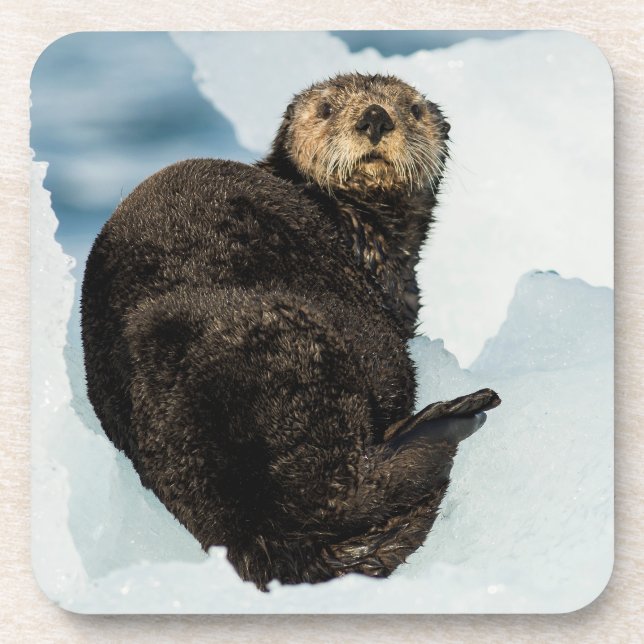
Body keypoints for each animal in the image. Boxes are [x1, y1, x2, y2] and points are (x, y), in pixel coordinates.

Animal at [81, 72, 500, 590]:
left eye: (413, 110)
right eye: (326, 109)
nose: (375, 117)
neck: (361, 231)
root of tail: (247, 530)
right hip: (313, 353)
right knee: (350, 486)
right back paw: (455, 416)